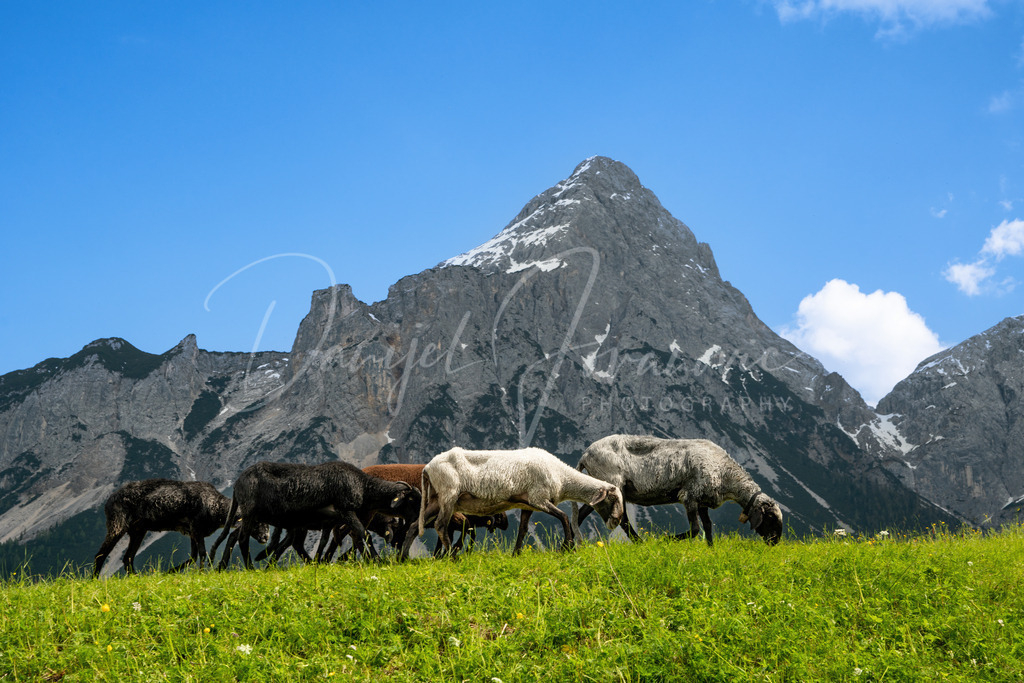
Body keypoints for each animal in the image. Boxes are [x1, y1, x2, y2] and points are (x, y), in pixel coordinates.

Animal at [93, 479, 267, 577]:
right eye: (256, 522)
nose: (265, 537)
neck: (216, 506)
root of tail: (110, 499)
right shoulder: (196, 529)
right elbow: (202, 554)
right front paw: (201, 573)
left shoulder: (193, 533)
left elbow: (193, 556)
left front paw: (170, 572)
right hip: (117, 525)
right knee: (101, 554)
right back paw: (94, 579)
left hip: (138, 531)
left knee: (128, 557)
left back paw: (136, 578)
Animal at [211, 460, 420, 569]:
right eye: (411, 501)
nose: (418, 521)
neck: (363, 485)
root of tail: (238, 483)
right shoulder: (344, 510)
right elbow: (363, 533)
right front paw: (376, 559)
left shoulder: (336, 519)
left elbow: (351, 537)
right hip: (251, 513)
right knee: (242, 539)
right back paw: (250, 567)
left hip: (263, 517)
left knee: (237, 536)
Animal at [416, 447, 624, 557]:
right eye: (613, 499)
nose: (617, 521)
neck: (562, 477)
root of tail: (428, 467)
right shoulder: (538, 498)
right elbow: (564, 517)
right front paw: (567, 546)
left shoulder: (527, 505)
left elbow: (523, 530)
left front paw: (516, 554)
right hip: (448, 495)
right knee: (440, 525)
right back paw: (452, 556)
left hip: (436, 499)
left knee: (415, 524)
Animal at [573, 434, 783, 547]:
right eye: (771, 517)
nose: (775, 542)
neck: (726, 475)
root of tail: (585, 455)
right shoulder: (689, 496)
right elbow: (696, 529)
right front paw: (667, 540)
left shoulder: (702, 500)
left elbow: (708, 526)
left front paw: (711, 549)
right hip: (614, 484)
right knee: (623, 520)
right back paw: (642, 543)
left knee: (582, 515)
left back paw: (569, 546)